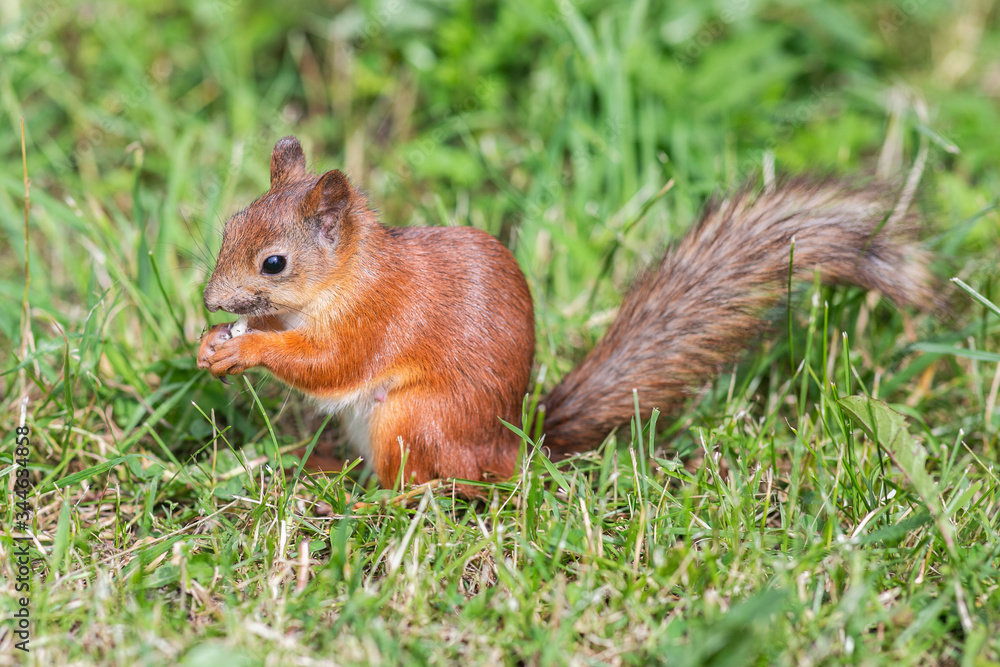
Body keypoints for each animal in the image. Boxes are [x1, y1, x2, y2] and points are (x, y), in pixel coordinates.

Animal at [197, 136, 936, 490]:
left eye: (274, 263)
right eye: (229, 224)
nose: (210, 300)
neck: (348, 275)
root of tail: (514, 445)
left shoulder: (377, 316)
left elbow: (329, 364)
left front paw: (245, 348)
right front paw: (212, 341)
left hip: (413, 421)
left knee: (447, 484)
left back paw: (386, 499)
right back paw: (329, 468)